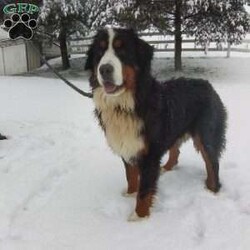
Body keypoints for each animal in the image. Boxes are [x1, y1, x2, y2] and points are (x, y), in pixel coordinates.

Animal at [84, 27, 227, 221]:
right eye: (99, 53)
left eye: (122, 51)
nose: (105, 69)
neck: (125, 105)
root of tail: (208, 85)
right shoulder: (128, 146)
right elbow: (131, 176)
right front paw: (129, 194)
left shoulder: (149, 153)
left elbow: (145, 190)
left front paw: (138, 217)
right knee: (175, 151)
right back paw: (166, 168)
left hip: (206, 135)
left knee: (212, 164)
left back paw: (212, 190)